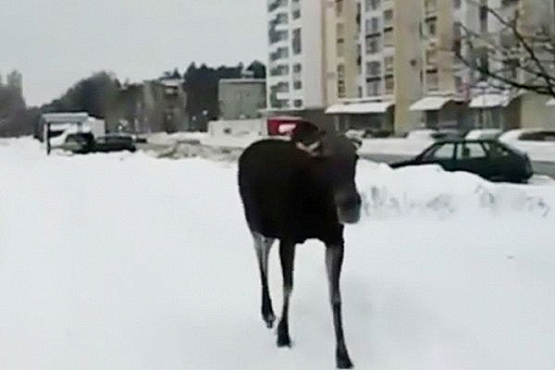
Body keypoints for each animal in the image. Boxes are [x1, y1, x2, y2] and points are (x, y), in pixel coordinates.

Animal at [237, 121, 362, 368]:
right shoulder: (288, 237)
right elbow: (288, 286)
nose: (350, 205)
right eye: (325, 157)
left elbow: (335, 297)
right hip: (255, 222)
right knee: (260, 256)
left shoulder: (335, 240)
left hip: (271, 230)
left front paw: (343, 354)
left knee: (265, 250)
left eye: (355, 157)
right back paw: (267, 312)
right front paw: (283, 334)